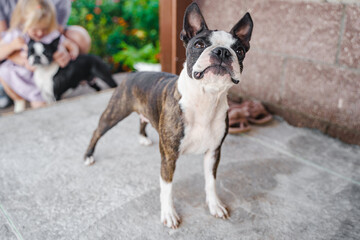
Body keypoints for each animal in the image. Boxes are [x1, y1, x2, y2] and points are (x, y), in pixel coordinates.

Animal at [84, 2, 253, 230]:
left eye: (239, 50)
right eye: (199, 44)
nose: (222, 52)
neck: (205, 99)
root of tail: (135, 72)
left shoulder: (213, 152)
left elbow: (210, 182)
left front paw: (214, 205)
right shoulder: (169, 156)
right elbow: (167, 187)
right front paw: (169, 214)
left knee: (142, 121)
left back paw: (143, 138)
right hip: (114, 112)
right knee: (97, 131)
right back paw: (88, 155)